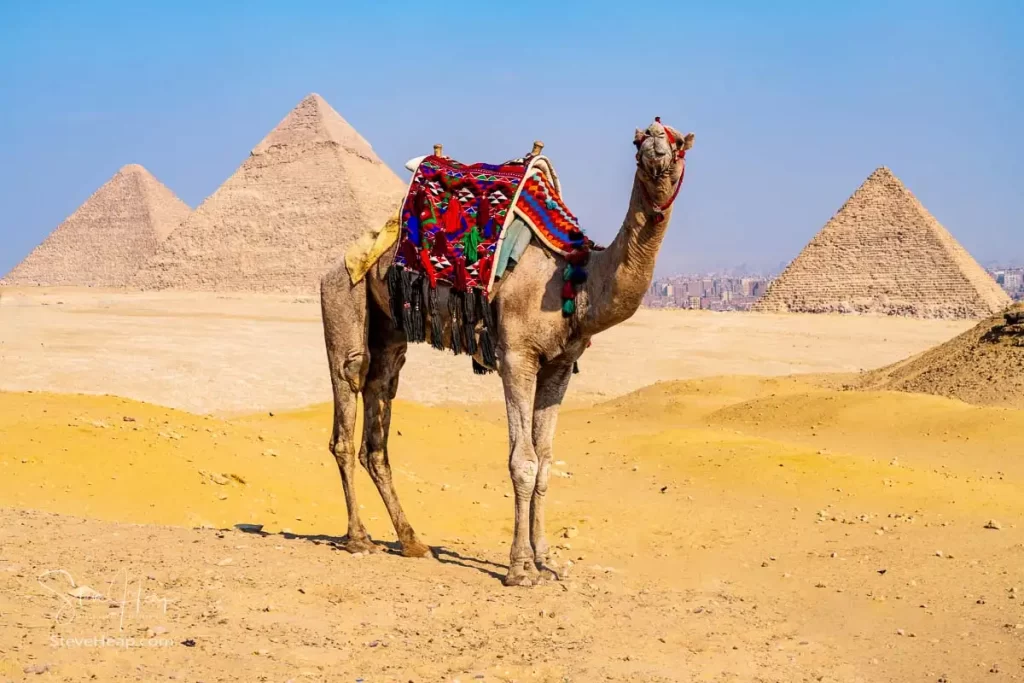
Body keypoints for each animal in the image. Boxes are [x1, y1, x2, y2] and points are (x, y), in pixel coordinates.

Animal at [317, 118, 688, 589]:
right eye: (639, 141)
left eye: (678, 143)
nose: (656, 149)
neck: (573, 280)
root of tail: (340, 261)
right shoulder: (516, 357)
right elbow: (522, 462)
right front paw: (520, 568)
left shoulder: (558, 367)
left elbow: (545, 463)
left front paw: (546, 560)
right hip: (343, 296)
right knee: (347, 399)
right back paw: (358, 537)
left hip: (390, 331)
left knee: (378, 416)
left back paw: (412, 541)